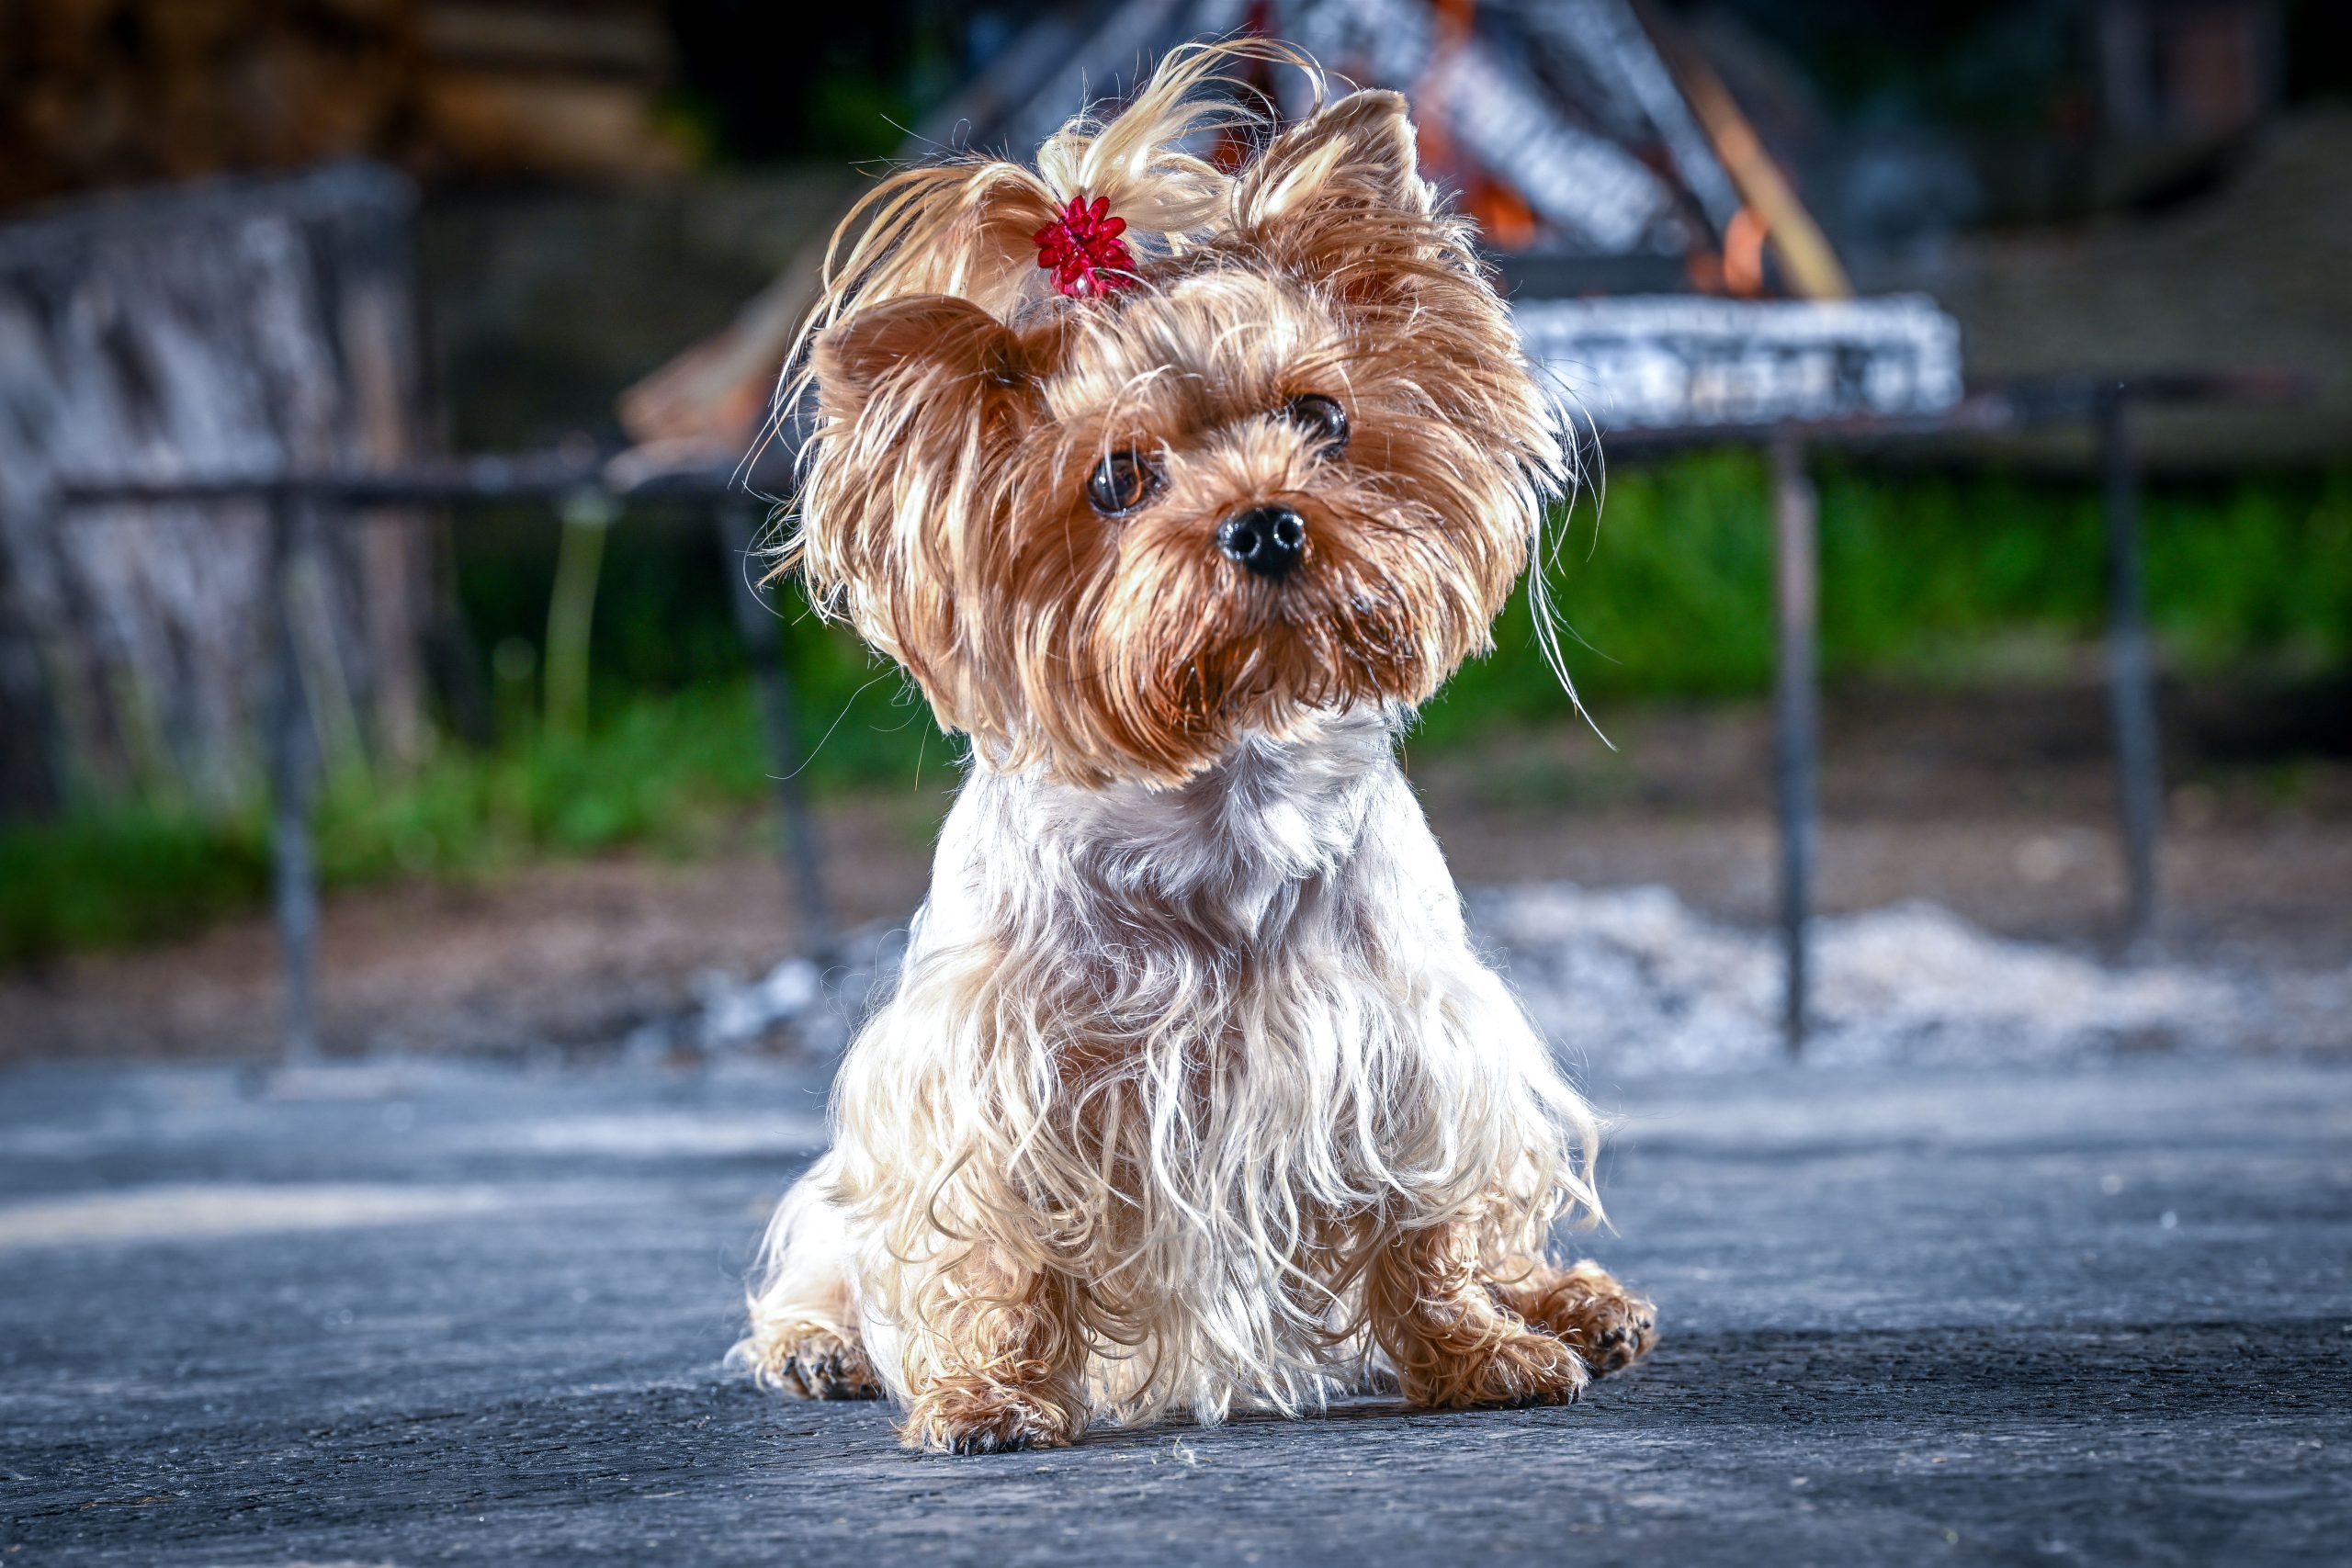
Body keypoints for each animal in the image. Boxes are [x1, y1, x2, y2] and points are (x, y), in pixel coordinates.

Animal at [738, 39, 1656, 1457]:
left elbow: (1429, 1219)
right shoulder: (986, 1083)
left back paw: (1571, 1304)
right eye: (1117, 479)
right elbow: (996, 1248)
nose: (1265, 521)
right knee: (835, 1251)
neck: (1223, 786)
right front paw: (986, 1393)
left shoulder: (1412, 1051)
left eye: (1321, 416)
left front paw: (1480, 1350)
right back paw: (819, 1341)